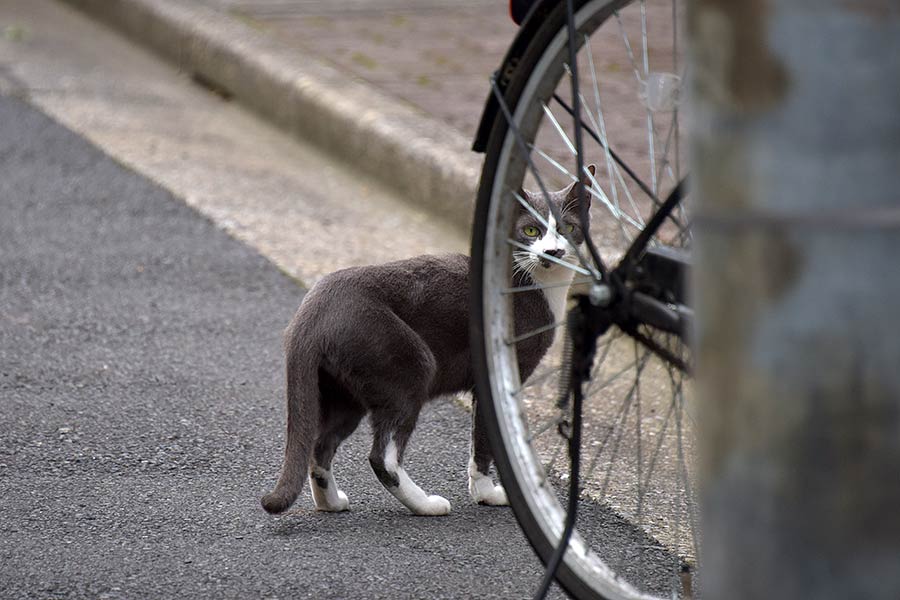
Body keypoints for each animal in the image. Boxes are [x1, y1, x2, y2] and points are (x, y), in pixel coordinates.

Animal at [260, 168, 596, 516]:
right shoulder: (499, 376)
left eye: (568, 228)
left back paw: (332, 503)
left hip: (343, 391)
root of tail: (309, 315)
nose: (553, 252)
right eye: (531, 230)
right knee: (382, 456)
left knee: (320, 444)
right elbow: (483, 440)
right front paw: (487, 493)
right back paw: (426, 504)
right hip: (407, 363)